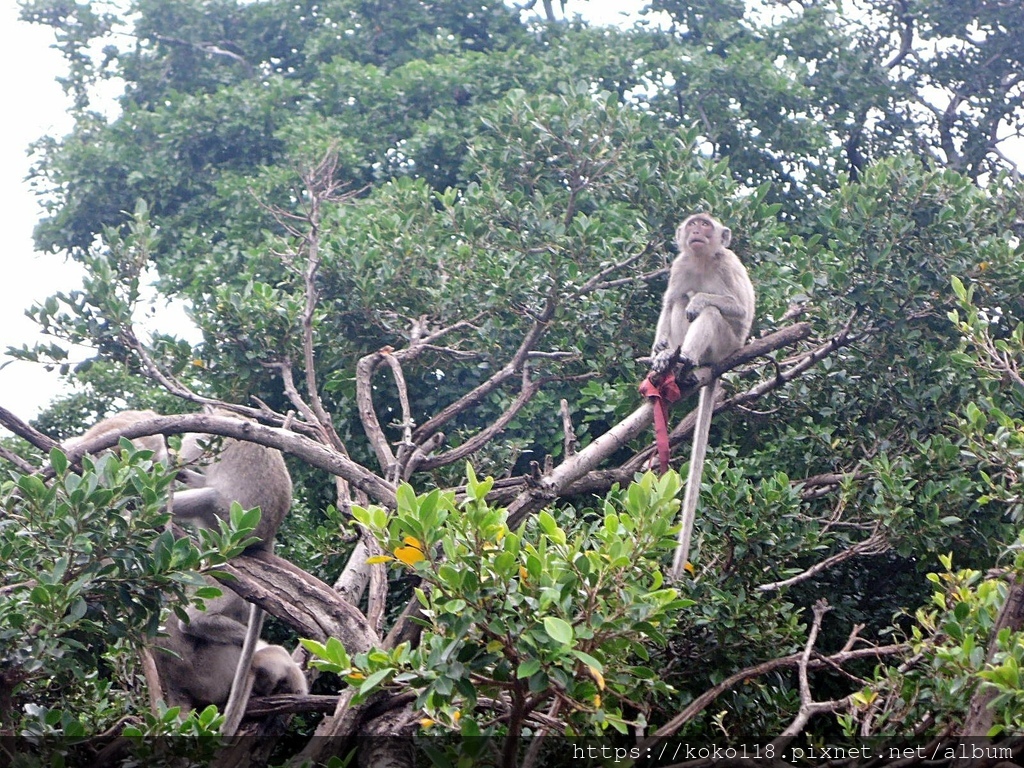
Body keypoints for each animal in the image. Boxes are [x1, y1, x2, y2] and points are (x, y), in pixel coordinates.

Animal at [643, 214, 757, 581]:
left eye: (706, 225)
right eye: (694, 223)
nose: (696, 231)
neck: (703, 260)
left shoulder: (728, 263)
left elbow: (738, 308)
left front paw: (700, 301)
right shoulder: (681, 264)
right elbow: (671, 302)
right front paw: (660, 351)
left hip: (725, 345)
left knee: (709, 313)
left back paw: (688, 359)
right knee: (679, 303)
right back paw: (673, 363)